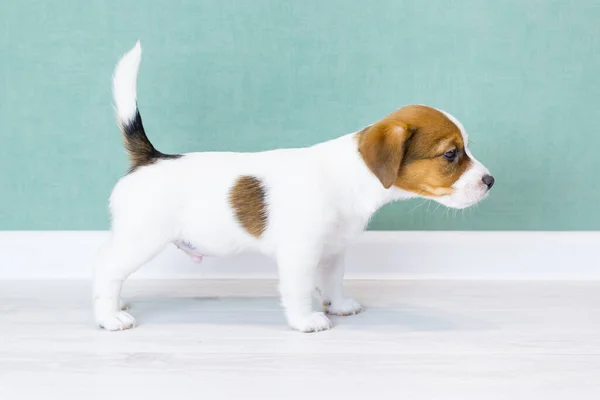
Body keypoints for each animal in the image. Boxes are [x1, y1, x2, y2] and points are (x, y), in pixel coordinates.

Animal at [94, 42, 494, 332]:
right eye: (451, 154)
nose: (491, 181)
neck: (350, 177)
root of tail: (150, 157)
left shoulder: (333, 251)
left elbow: (333, 282)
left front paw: (339, 306)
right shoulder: (300, 254)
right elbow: (300, 290)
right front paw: (307, 321)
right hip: (141, 238)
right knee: (107, 272)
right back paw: (109, 316)